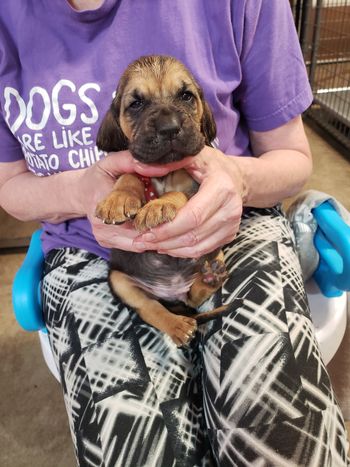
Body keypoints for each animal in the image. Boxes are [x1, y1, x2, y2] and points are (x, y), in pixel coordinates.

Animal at [95, 55, 227, 348]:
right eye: (136, 103)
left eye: (186, 96)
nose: (169, 129)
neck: (163, 172)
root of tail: (171, 292)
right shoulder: (134, 167)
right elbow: (129, 175)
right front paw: (118, 199)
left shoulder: (196, 187)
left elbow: (176, 193)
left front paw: (158, 206)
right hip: (119, 279)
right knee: (150, 308)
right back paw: (177, 325)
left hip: (215, 250)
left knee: (193, 297)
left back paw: (209, 279)